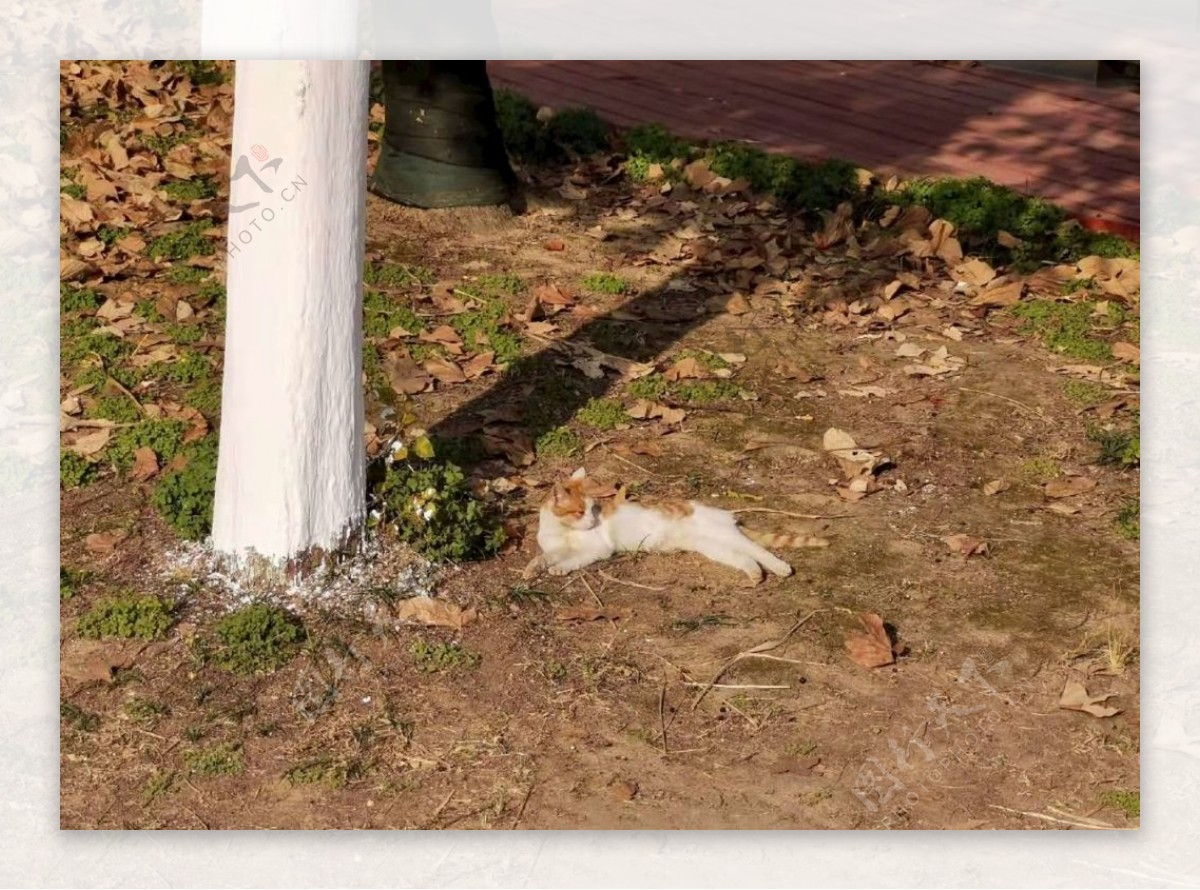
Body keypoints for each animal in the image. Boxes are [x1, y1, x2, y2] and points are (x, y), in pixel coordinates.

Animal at [528, 467, 816, 585]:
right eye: (580, 511)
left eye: (594, 509)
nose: (592, 520)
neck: (563, 530)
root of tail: (726, 515)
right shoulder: (555, 546)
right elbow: (545, 556)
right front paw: (533, 568)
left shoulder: (598, 549)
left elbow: (573, 559)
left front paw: (559, 568)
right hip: (712, 547)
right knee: (745, 558)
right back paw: (755, 574)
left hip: (724, 535)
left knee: (758, 550)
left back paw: (781, 568)